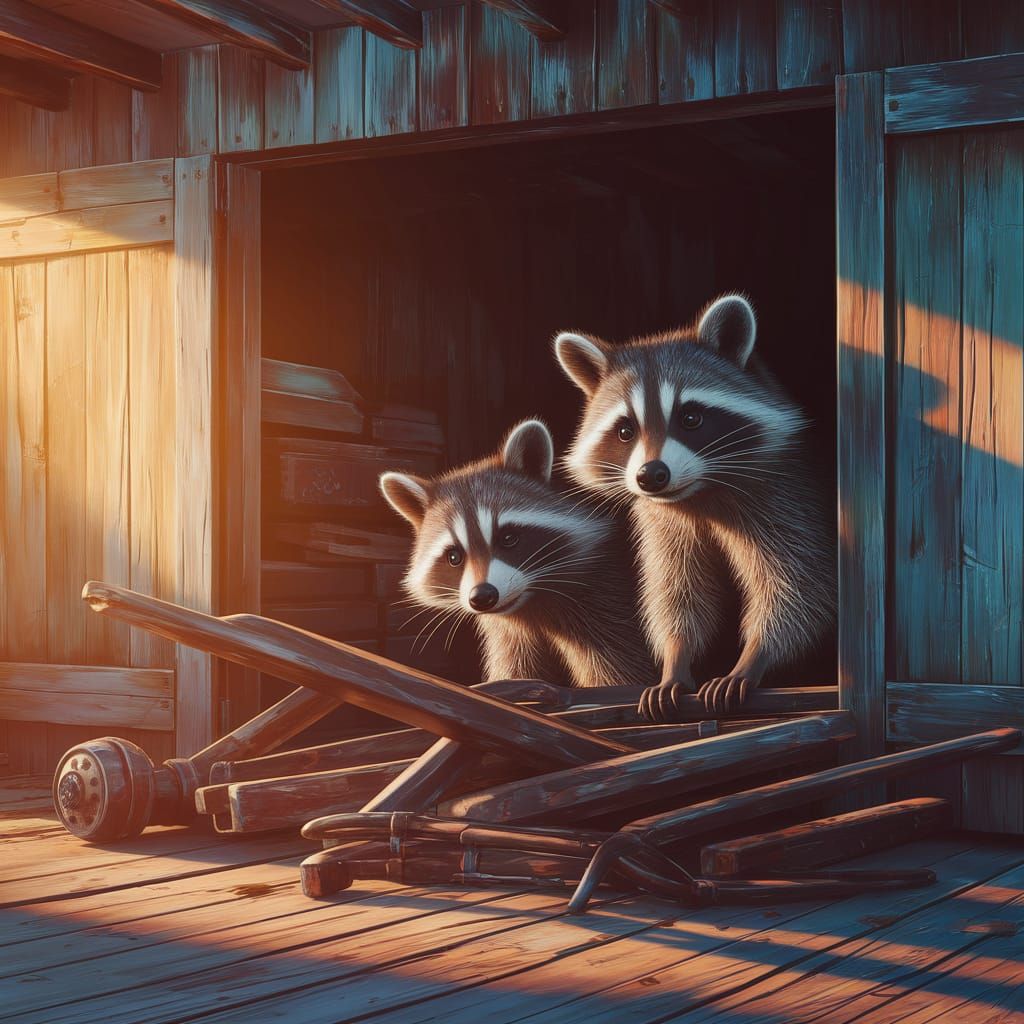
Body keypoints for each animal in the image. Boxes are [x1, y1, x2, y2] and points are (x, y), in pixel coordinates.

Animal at [379, 419, 656, 689]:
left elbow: (622, 669)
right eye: (454, 556)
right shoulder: (511, 633)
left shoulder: (607, 599)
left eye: (508, 538)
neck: (531, 603)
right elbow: (516, 670)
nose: (482, 596)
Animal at [555, 294, 836, 717]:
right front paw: (676, 657)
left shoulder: (787, 496)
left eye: (690, 418)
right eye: (625, 431)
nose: (652, 475)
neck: (699, 495)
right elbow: (677, 591)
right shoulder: (662, 521)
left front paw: (755, 655)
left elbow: (801, 588)